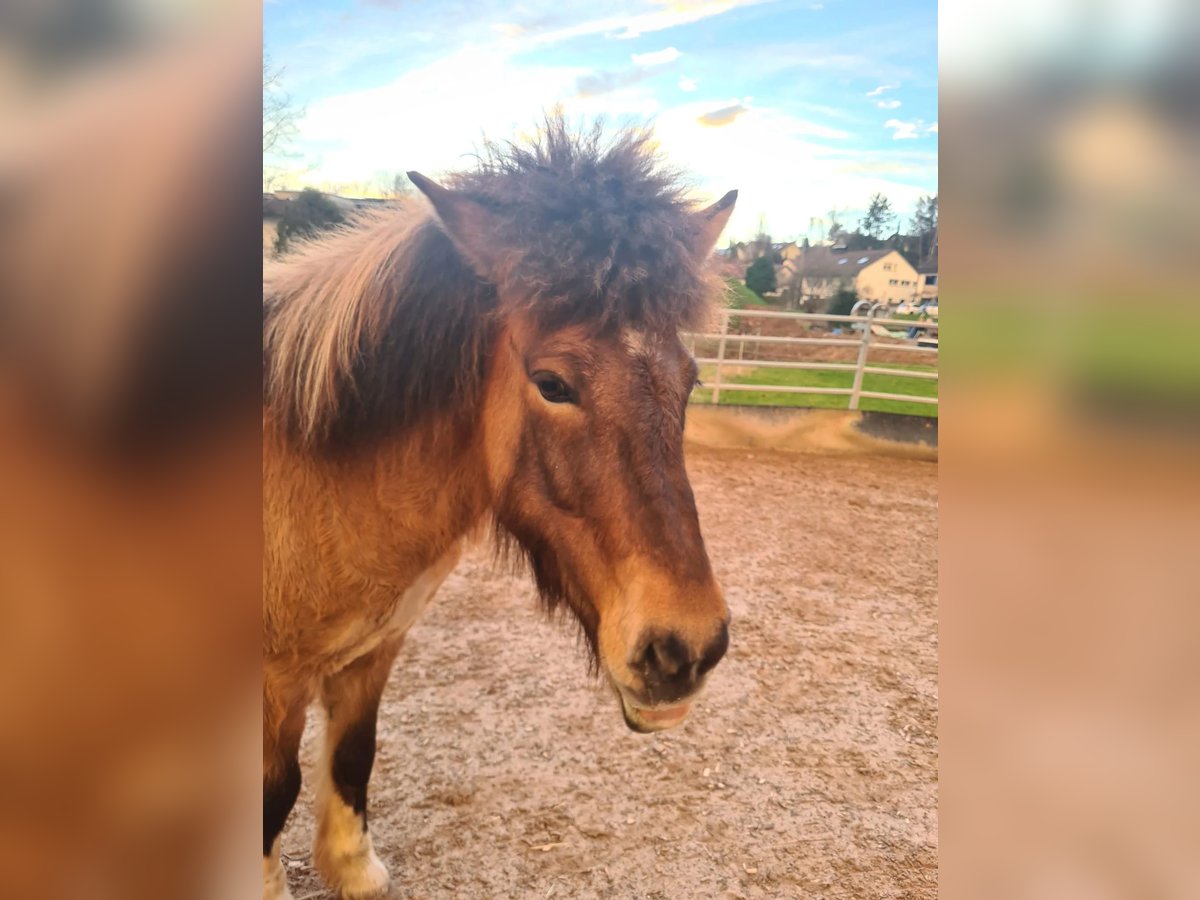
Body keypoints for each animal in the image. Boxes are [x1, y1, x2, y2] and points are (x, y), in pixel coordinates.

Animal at [262, 121, 734, 900]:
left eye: (690, 379)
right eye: (552, 383)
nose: (686, 650)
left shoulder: (375, 651)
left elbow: (354, 755)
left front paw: (354, 867)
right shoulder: (275, 683)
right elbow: (274, 797)